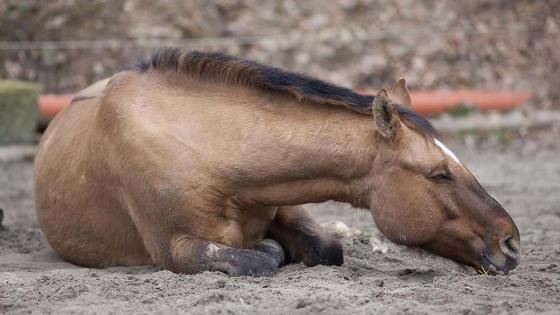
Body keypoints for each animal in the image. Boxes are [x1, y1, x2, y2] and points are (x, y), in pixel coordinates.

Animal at [32, 48, 520, 276]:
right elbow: (258, 258)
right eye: (438, 174)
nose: (511, 242)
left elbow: (326, 248)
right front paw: (271, 251)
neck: (210, 152)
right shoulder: (174, 248)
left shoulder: (285, 201)